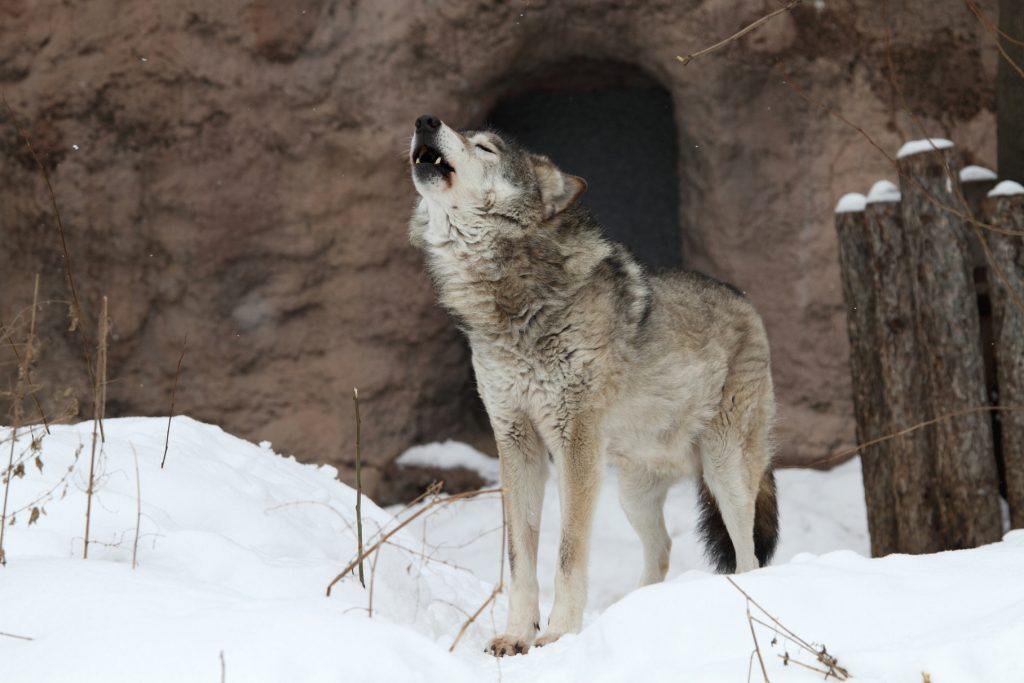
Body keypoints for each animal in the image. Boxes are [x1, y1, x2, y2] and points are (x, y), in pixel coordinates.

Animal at [405, 114, 774, 655]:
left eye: (485, 148)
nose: (425, 120)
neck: (511, 303)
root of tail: (745, 299)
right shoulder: (516, 443)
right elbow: (520, 561)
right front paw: (516, 636)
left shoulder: (574, 443)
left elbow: (567, 553)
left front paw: (558, 633)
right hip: (631, 493)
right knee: (662, 549)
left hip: (724, 470)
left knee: (747, 554)